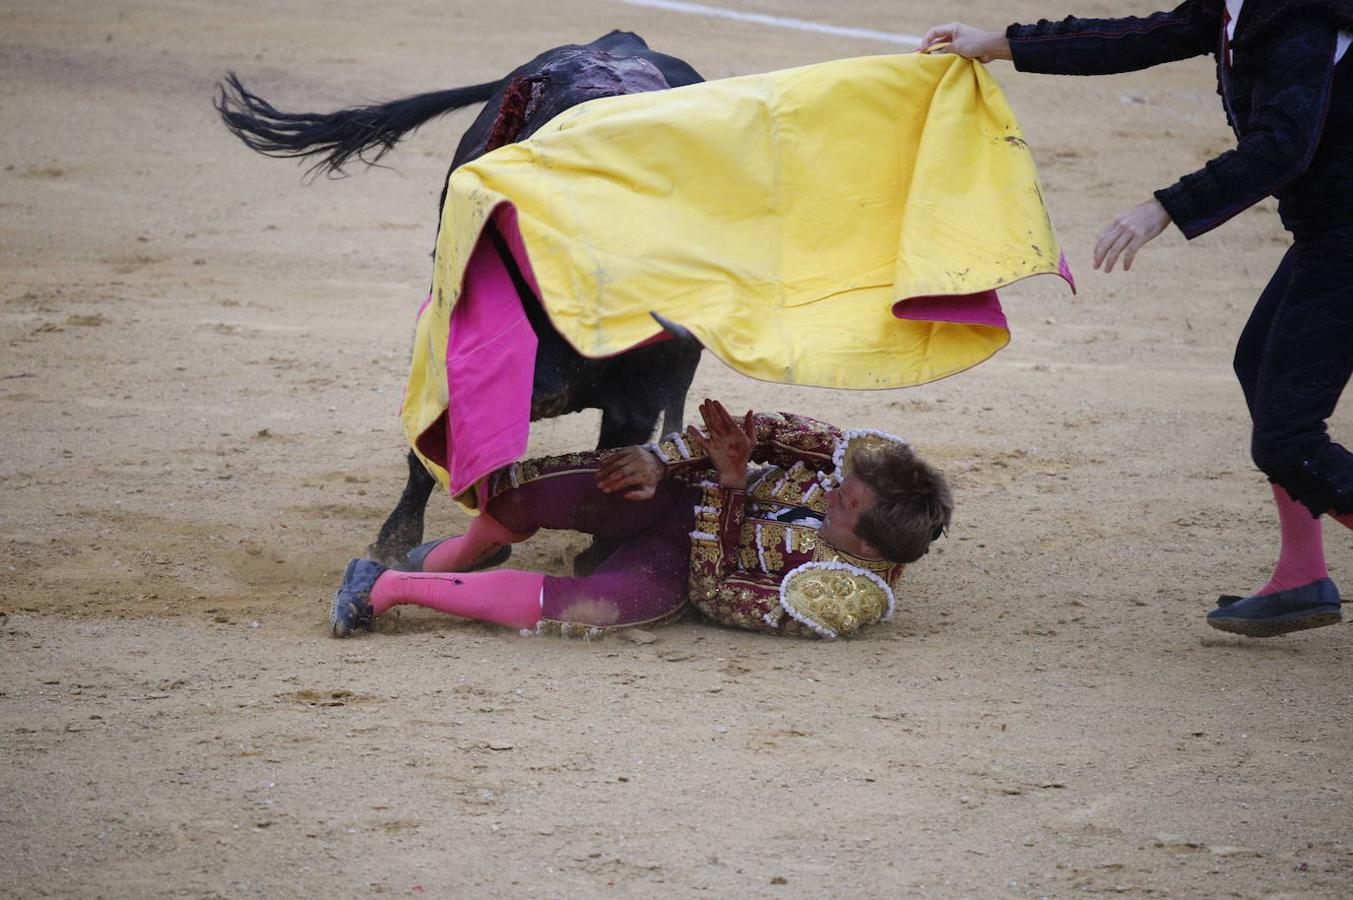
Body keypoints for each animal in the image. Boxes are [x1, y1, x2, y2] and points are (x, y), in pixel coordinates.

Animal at [216, 33, 703, 576]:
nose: (541, 392)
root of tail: (617, 40)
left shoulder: (638, 398)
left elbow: (613, 465)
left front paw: (598, 556)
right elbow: (430, 454)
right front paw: (395, 545)